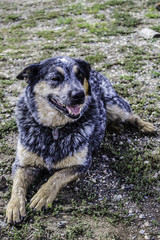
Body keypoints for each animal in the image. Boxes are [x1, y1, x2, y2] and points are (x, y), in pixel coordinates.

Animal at [5, 56, 154, 223]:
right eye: (55, 78)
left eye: (80, 76)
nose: (79, 95)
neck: (55, 128)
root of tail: (96, 72)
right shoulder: (22, 164)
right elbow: (18, 185)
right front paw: (14, 206)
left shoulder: (81, 164)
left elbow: (57, 176)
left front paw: (43, 195)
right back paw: (115, 126)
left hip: (114, 105)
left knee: (131, 115)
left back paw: (145, 126)